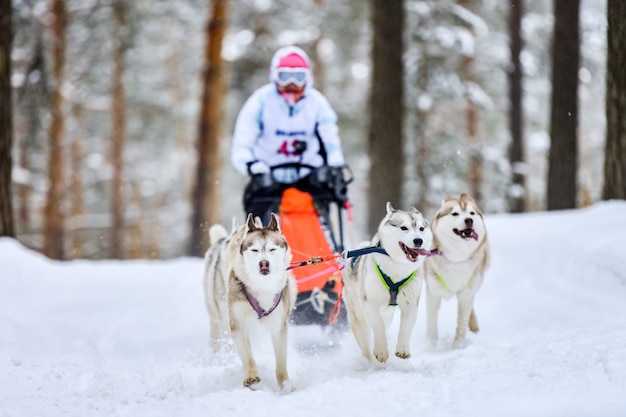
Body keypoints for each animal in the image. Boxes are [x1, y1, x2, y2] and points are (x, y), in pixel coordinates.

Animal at [202, 213, 294, 388]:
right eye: (254, 250)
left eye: (272, 249)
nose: (263, 263)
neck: (262, 286)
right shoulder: (237, 323)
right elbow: (247, 355)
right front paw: (251, 376)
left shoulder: (279, 325)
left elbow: (281, 361)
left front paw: (286, 385)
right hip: (218, 316)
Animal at [342, 201, 428, 360]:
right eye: (404, 227)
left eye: (421, 229)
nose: (419, 240)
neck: (397, 267)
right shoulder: (369, 303)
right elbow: (378, 326)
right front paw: (381, 350)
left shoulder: (411, 304)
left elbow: (405, 328)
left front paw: (402, 349)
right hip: (359, 316)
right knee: (365, 342)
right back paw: (369, 361)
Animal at [424, 193, 488, 346]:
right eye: (455, 213)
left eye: (472, 213)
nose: (469, 220)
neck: (456, 259)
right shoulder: (433, 293)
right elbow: (431, 324)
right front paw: (431, 346)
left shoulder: (466, 294)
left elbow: (462, 322)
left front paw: (458, 346)